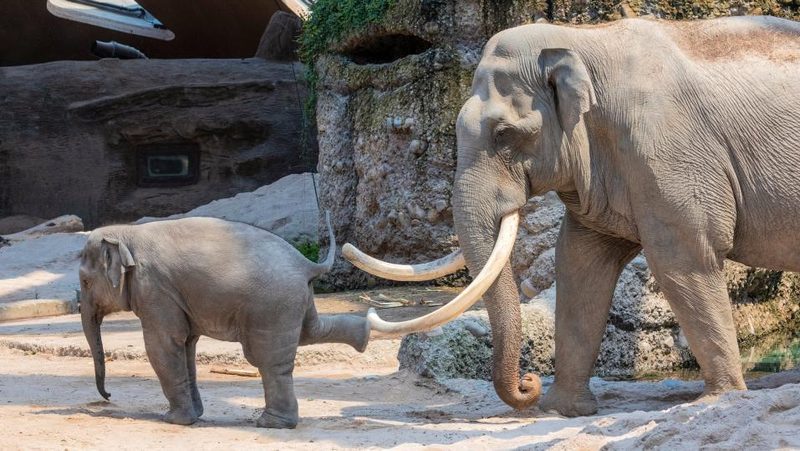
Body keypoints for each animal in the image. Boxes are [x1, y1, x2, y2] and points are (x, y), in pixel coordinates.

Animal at [79, 213, 370, 428]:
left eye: (85, 281)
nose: (108, 396)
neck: (126, 233)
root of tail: (306, 264)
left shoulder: (154, 289)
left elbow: (163, 345)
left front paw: (174, 421)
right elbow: (186, 345)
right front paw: (194, 417)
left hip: (271, 305)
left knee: (268, 361)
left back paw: (272, 424)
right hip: (295, 298)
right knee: (310, 332)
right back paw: (365, 333)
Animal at [342, 16, 800, 416]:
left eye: (504, 135)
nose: (528, 382)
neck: (579, 40)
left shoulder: (669, 152)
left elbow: (684, 257)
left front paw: (719, 400)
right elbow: (580, 263)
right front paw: (562, 409)